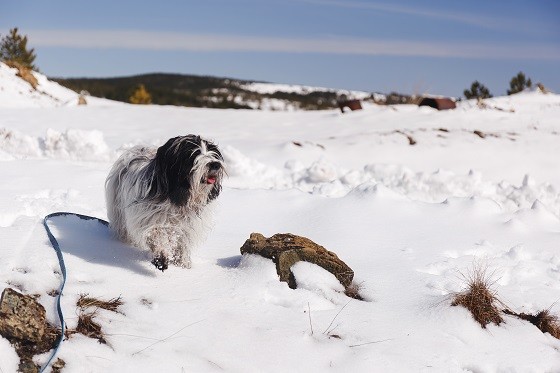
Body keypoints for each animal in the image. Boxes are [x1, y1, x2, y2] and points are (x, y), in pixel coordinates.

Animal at [106, 134, 224, 270]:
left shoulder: (187, 226)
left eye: (212, 151)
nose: (215, 164)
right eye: (194, 153)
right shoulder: (148, 218)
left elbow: (183, 242)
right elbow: (156, 235)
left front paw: (183, 264)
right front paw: (161, 256)